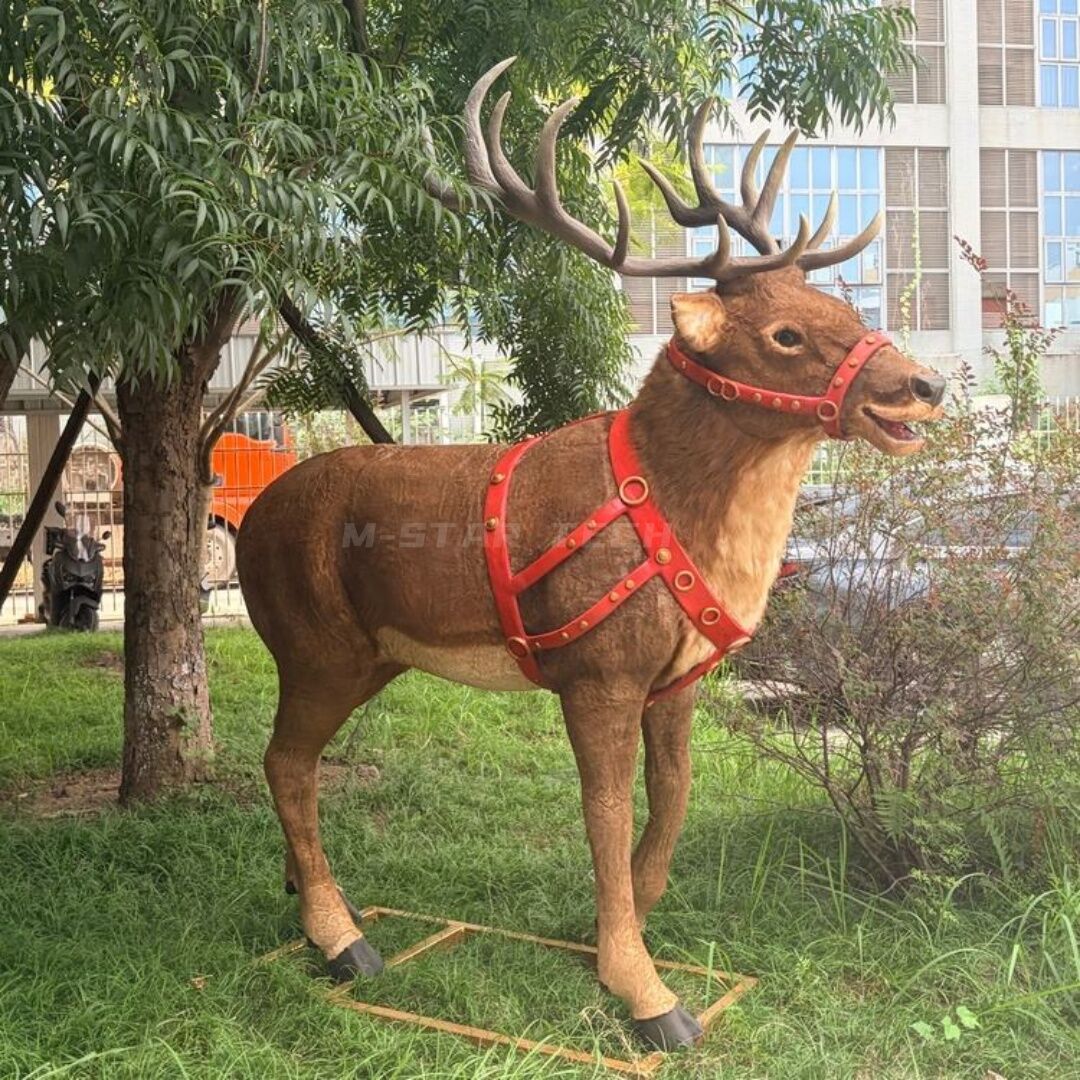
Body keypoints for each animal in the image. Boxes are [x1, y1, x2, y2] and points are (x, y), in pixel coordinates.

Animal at [237, 58, 946, 1052]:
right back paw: (343, 940)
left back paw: (304, 904)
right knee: (284, 763)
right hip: (313, 642)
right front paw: (646, 995)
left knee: (287, 764)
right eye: (785, 335)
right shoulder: (596, 671)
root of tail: (245, 522)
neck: (696, 531)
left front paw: (618, 936)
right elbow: (606, 817)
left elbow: (673, 800)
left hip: (371, 656)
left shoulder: (678, 679)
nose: (925, 384)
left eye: (837, 304)